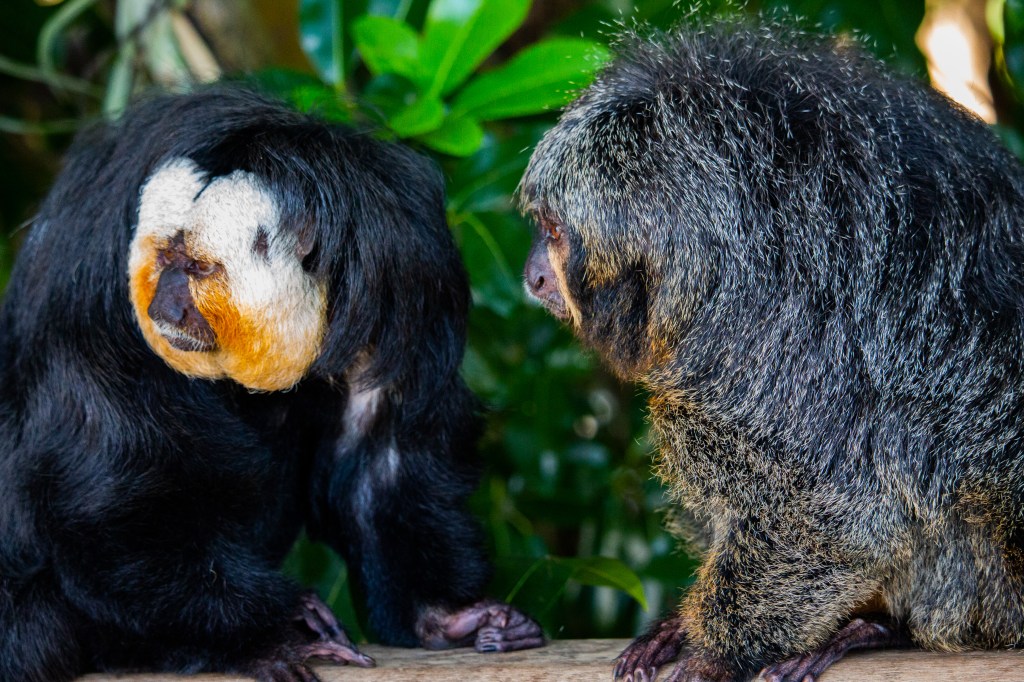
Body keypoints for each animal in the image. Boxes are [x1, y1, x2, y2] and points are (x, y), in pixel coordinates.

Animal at [0, 87, 543, 682]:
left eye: (198, 268)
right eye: (164, 258)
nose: (162, 307)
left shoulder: (406, 278)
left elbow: (382, 464)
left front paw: (445, 616)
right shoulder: (89, 280)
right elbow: (112, 504)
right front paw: (273, 631)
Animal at [520, 19, 1024, 682]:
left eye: (553, 233)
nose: (530, 274)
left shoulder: (774, 338)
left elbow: (835, 516)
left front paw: (715, 655)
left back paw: (877, 630)